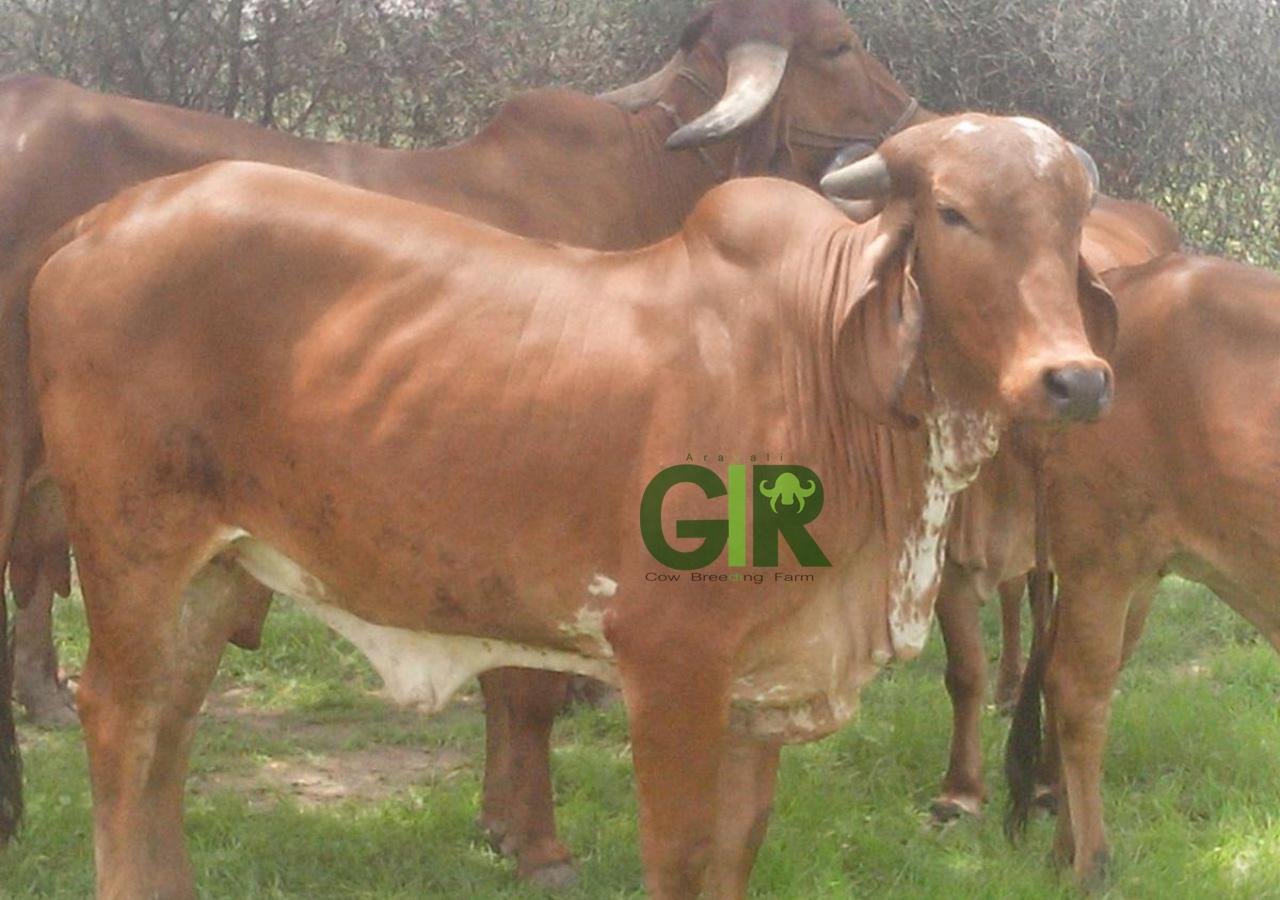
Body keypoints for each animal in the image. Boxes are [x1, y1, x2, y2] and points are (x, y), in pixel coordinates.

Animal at [0, 113, 1112, 898]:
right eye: (954, 216)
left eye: (1068, 229)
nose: (1075, 381)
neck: (820, 362)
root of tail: (95, 225)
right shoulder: (670, 660)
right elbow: (679, 851)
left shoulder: (762, 679)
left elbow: (738, 850)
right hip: (132, 548)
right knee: (121, 720)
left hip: (219, 566)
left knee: (171, 729)